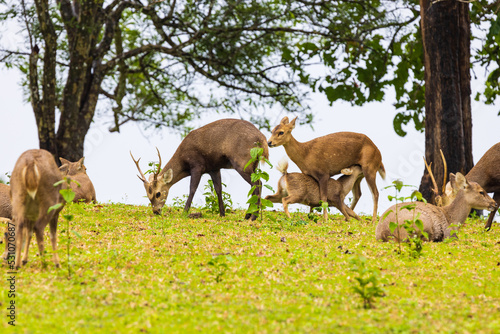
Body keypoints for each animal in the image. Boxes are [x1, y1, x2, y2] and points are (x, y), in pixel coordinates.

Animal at [130, 119, 270, 219]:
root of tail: (262, 139)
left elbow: (192, 188)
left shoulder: (197, 165)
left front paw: (185, 212)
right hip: (252, 164)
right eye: (148, 195)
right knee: (255, 184)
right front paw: (222, 213)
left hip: (242, 161)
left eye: (158, 193)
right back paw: (248, 215)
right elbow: (218, 189)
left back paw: (253, 217)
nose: (156, 211)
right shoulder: (213, 168)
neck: (184, 161)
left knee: (258, 183)